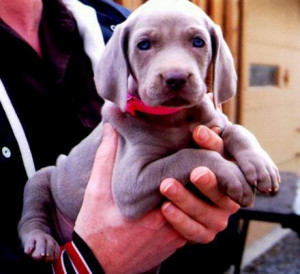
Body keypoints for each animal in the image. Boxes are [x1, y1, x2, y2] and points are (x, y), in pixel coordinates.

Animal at [17, 0, 280, 262]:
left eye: (198, 42)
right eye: (143, 45)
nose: (176, 78)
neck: (173, 118)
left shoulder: (214, 122)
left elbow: (237, 130)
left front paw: (261, 165)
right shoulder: (130, 184)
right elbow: (187, 156)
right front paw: (232, 174)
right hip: (43, 178)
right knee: (31, 211)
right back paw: (40, 240)